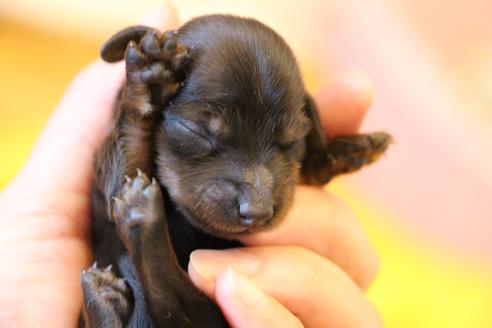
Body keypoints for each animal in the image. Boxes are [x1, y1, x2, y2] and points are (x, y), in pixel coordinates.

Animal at [79, 14, 390, 328]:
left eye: (291, 142)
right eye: (197, 132)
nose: (257, 211)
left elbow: (315, 166)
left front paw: (350, 149)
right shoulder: (107, 179)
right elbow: (126, 163)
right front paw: (148, 82)